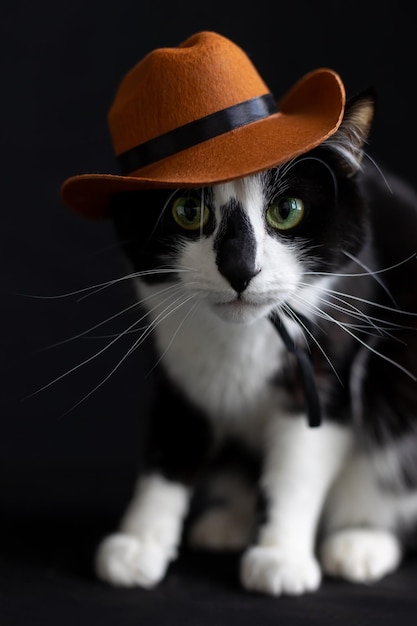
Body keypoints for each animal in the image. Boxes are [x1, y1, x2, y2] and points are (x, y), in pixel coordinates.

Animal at [92, 89, 417, 596]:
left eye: (287, 211)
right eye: (188, 211)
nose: (240, 270)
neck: (243, 337)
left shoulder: (325, 368)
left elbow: (295, 470)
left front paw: (280, 557)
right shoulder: (178, 370)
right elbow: (168, 447)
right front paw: (139, 542)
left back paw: (361, 542)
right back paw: (230, 521)